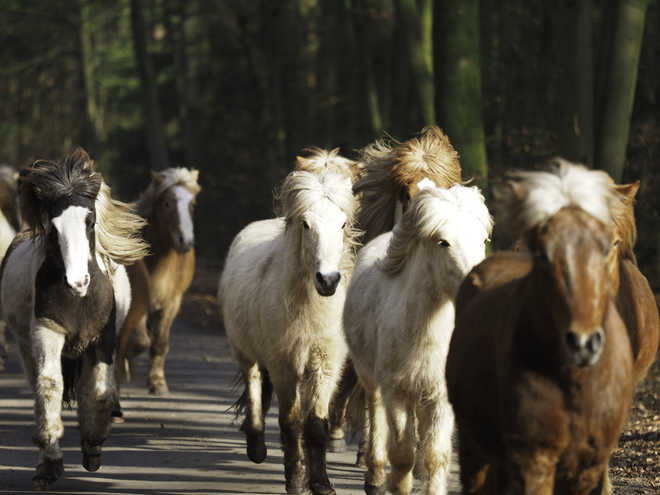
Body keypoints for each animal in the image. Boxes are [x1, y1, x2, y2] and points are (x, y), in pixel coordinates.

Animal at [0, 149, 148, 490]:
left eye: (90, 221)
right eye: (53, 227)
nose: (77, 282)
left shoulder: (103, 338)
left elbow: (102, 393)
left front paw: (94, 440)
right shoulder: (48, 332)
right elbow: (50, 387)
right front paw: (52, 461)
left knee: (84, 389)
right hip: (27, 347)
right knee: (40, 388)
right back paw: (45, 465)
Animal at [114, 169, 200, 398]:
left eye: (192, 204)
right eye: (167, 203)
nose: (185, 241)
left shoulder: (171, 303)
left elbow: (159, 343)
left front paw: (158, 382)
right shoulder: (142, 303)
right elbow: (141, 342)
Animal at [219, 170, 358, 495]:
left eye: (342, 224)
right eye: (306, 224)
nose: (328, 280)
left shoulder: (323, 367)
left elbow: (316, 426)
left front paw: (321, 483)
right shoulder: (284, 366)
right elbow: (291, 421)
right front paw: (295, 479)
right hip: (248, 355)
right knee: (255, 387)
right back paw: (257, 447)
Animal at [342, 185, 492, 495]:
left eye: (483, 239)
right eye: (443, 242)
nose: (479, 287)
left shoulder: (441, 396)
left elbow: (436, 456)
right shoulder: (397, 394)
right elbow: (401, 457)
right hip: (372, 381)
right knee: (376, 415)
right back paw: (374, 476)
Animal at [444, 161, 636, 494]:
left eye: (609, 245)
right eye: (542, 252)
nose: (583, 343)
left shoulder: (586, 468)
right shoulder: (534, 459)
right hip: (474, 448)